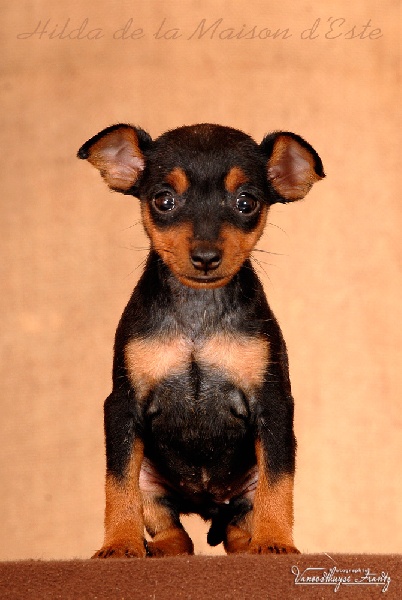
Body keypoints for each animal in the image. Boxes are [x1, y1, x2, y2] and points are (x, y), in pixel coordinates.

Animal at [78, 123, 324, 557]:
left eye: (246, 202)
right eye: (163, 200)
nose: (206, 256)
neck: (198, 313)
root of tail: (206, 506)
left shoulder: (274, 406)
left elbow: (279, 483)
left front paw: (276, 543)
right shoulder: (121, 406)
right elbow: (117, 485)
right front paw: (119, 545)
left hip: (246, 488)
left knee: (237, 528)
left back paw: (251, 544)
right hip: (150, 480)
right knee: (174, 532)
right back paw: (157, 549)